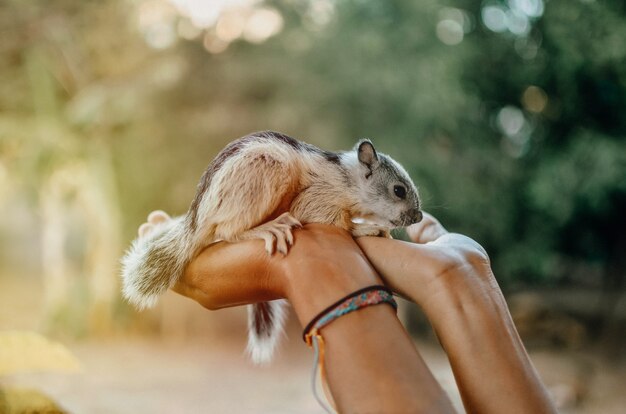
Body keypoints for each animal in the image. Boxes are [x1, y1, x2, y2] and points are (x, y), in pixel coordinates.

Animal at [119, 131, 422, 364]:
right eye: (398, 190)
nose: (418, 217)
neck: (347, 180)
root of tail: (199, 218)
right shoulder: (317, 199)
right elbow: (336, 221)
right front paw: (368, 227)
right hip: (265, 173)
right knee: (228, 231)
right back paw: (266, 228)